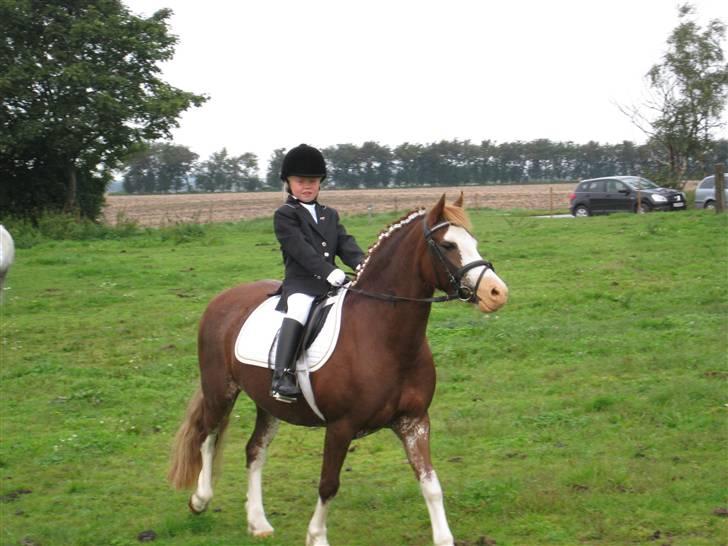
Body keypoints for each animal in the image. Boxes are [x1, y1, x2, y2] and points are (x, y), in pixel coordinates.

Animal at [168, 193, 510, 540]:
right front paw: (316, 537)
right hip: (220, 391)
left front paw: (444, 538)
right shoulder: (340, 426)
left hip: (269, 404)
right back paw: (200, 500)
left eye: (473, 241)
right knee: (207, 435)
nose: (497, 293)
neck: (385, 337)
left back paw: (258, 522)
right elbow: (328, 484)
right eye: (448, 245)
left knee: (254, 450)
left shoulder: (413, 421)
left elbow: (430, 483)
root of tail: (223, 299)